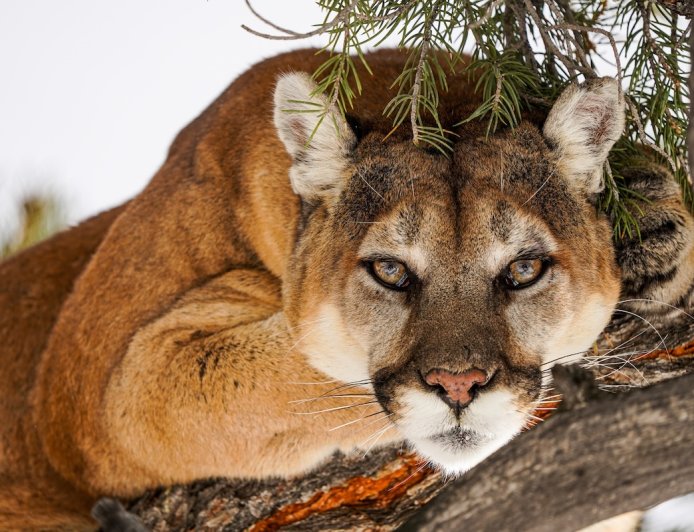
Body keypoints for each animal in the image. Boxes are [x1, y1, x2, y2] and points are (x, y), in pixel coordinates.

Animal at [0, 48, 691, 529]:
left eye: (523, 270)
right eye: (390, 272)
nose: (460, 386)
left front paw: (654, 216)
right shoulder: (99, 388)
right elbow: (301, 375)